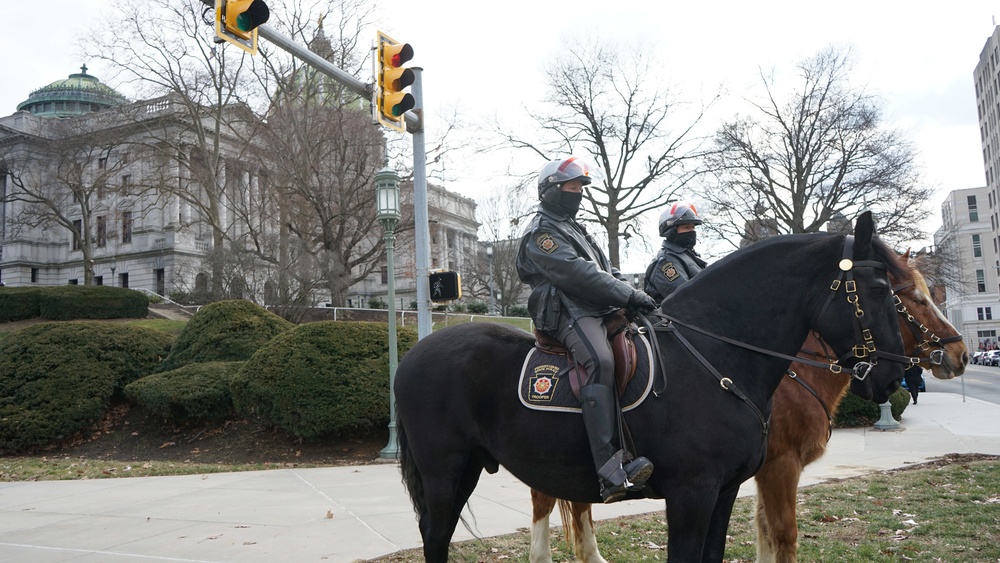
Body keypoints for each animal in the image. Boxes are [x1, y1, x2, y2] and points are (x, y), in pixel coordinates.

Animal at [396, 214, 908, 560]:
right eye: (882, 290)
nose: (893, 376)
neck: (716, 355)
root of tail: (415, 353)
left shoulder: (724, 492)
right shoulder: (691, 494)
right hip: (445, 470)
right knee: (435, 536)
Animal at [532, 254, 968, 563]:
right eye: (914, 298)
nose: (961, 353)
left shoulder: (755, 473)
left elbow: (763, 531)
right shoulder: (780, 466)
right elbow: (783, 534)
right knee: (546, 503)